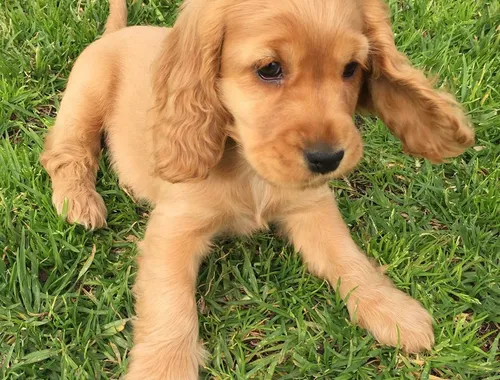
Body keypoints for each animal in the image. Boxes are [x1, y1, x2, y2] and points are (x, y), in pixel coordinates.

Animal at [41, 0, 474, 378]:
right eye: (269, 68)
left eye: (351, 69)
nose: (328, 158)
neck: (250, 168)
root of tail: (118, 32)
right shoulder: (175, 229)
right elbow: (170, 304)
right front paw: (164, 368)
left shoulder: (311, 205)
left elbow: (349, 259)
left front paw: (394, 311)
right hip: (86, 94)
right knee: (65, 150)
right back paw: (79, 201)